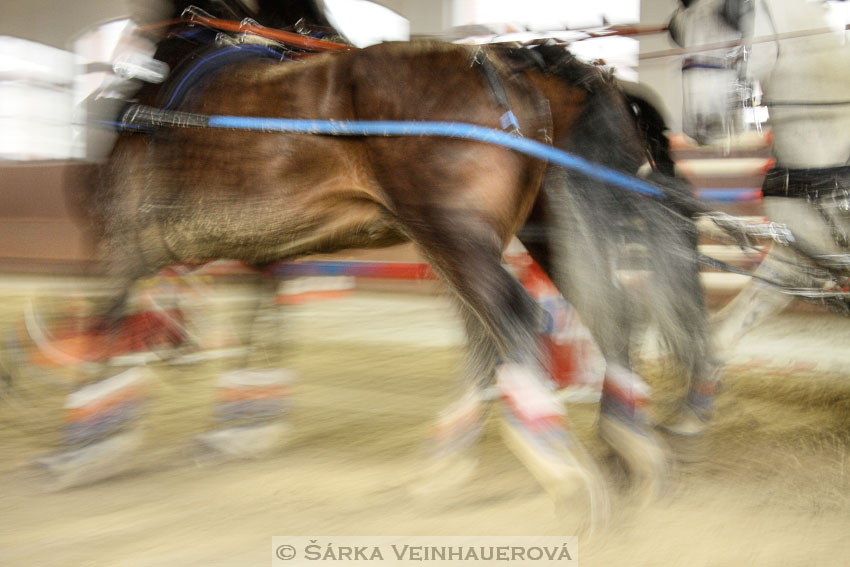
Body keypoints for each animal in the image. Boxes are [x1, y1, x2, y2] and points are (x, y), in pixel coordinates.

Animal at [54, 37, 716, 516]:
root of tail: (510, 62)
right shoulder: (258, 251)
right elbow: (256, 324)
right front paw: (236, 427)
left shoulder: (127, 240)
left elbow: (107, 319)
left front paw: (86, 443)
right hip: (524, 232)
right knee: (594, 318)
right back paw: (611, 450)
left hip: (452, 233)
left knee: (514, 322)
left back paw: (551, 463)